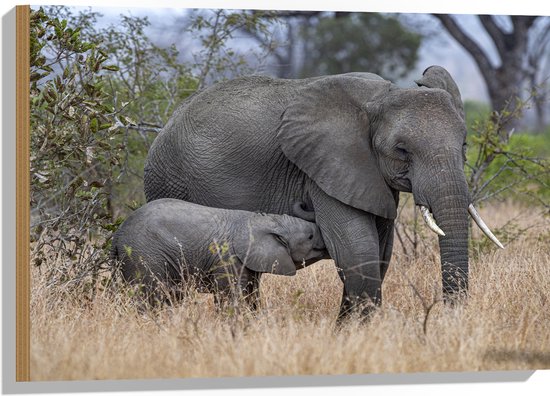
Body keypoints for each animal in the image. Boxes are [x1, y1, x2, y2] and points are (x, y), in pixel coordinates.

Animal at [112, 200, 328, 308]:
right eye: (310, 236)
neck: (266, 220)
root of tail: (117, 234)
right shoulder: (229, 260)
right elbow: (232, 298)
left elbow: (252, 295)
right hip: (145, 255)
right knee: (149, 296)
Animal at [146, 65, 504, 318]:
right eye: (402, 151)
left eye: (464, 145)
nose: (451, 318)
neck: (380, 96)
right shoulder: (324, 168)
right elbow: (358, 251)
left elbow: (380, 253)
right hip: (169, 178)